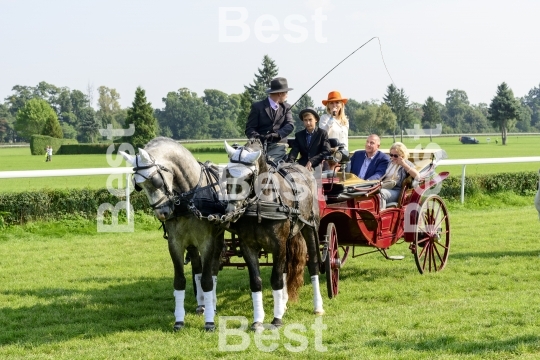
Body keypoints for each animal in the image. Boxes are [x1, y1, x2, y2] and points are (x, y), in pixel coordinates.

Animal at [121, 138, 225, 332]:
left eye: (155, 181)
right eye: (138, 185)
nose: (162, 213)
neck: (190, 199)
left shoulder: (207, 242)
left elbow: (207, 280)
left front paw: (209, 322)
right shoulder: (175, 243)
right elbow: (180, 281)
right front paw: (179, 320)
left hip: (218, 236)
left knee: (213, 269)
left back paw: (211, 305)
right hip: (191, 243)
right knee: (197, 268)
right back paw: (201, 305)